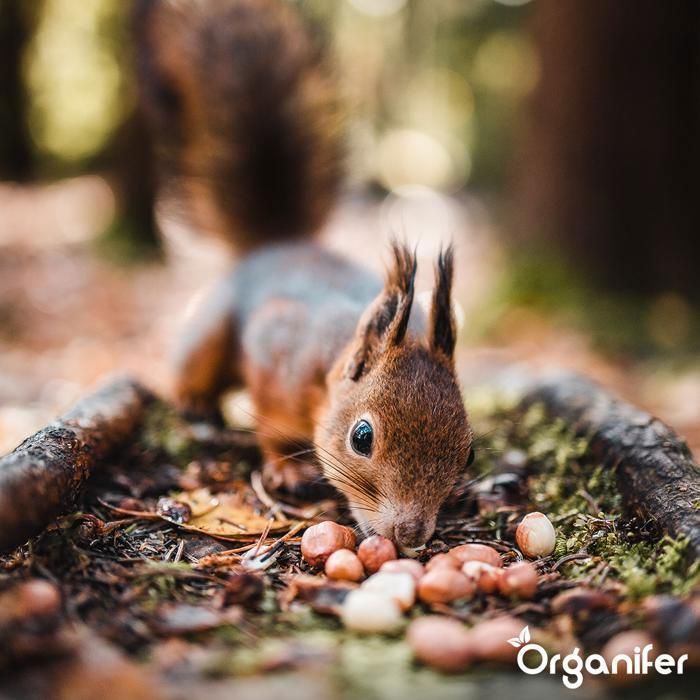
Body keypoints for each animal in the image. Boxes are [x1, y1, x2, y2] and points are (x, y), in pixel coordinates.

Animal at [134, 0, 474, 548]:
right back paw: (193, 398)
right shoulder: (275, 353)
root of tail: (278, 245)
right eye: (362, 437)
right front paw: (285, 467)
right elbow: (270, 429)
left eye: (469, 452)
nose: (410, 534)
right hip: (209, 332)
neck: (326, 366)